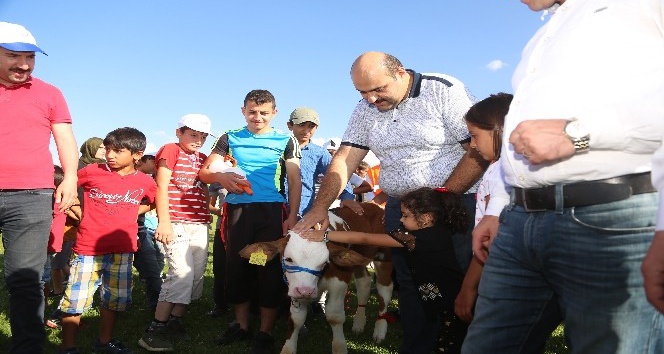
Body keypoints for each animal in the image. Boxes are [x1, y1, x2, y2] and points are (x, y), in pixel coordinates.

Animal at [240, 202, 392, 354]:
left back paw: (379, 330)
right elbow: (296, 319)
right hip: (357, 261)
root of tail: (372, 205)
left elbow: (334, 316)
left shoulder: (339, 280)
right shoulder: (294, 286)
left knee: (385, 290)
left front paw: (340, 347)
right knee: (364, 283)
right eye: (288, 259)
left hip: (384, 257)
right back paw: (359, 324)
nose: (306, 291)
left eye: (324, 263)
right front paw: (288, 349)